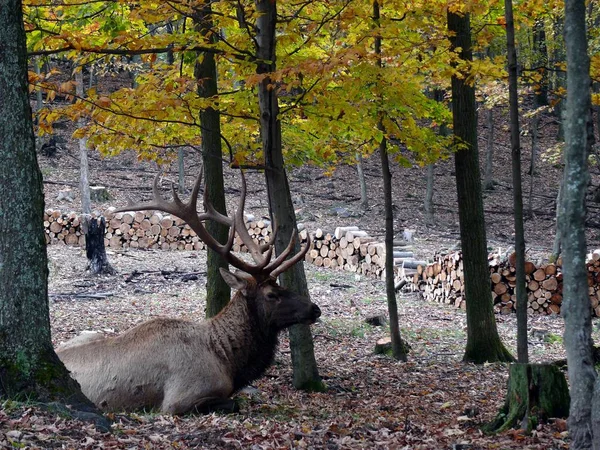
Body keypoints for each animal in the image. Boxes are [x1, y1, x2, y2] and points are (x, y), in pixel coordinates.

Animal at [56, 170, 322, 414]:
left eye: (281, 286)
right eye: (271, 295)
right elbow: (234, 403)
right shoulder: (179, 400)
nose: (315, 308)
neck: (228, 362)